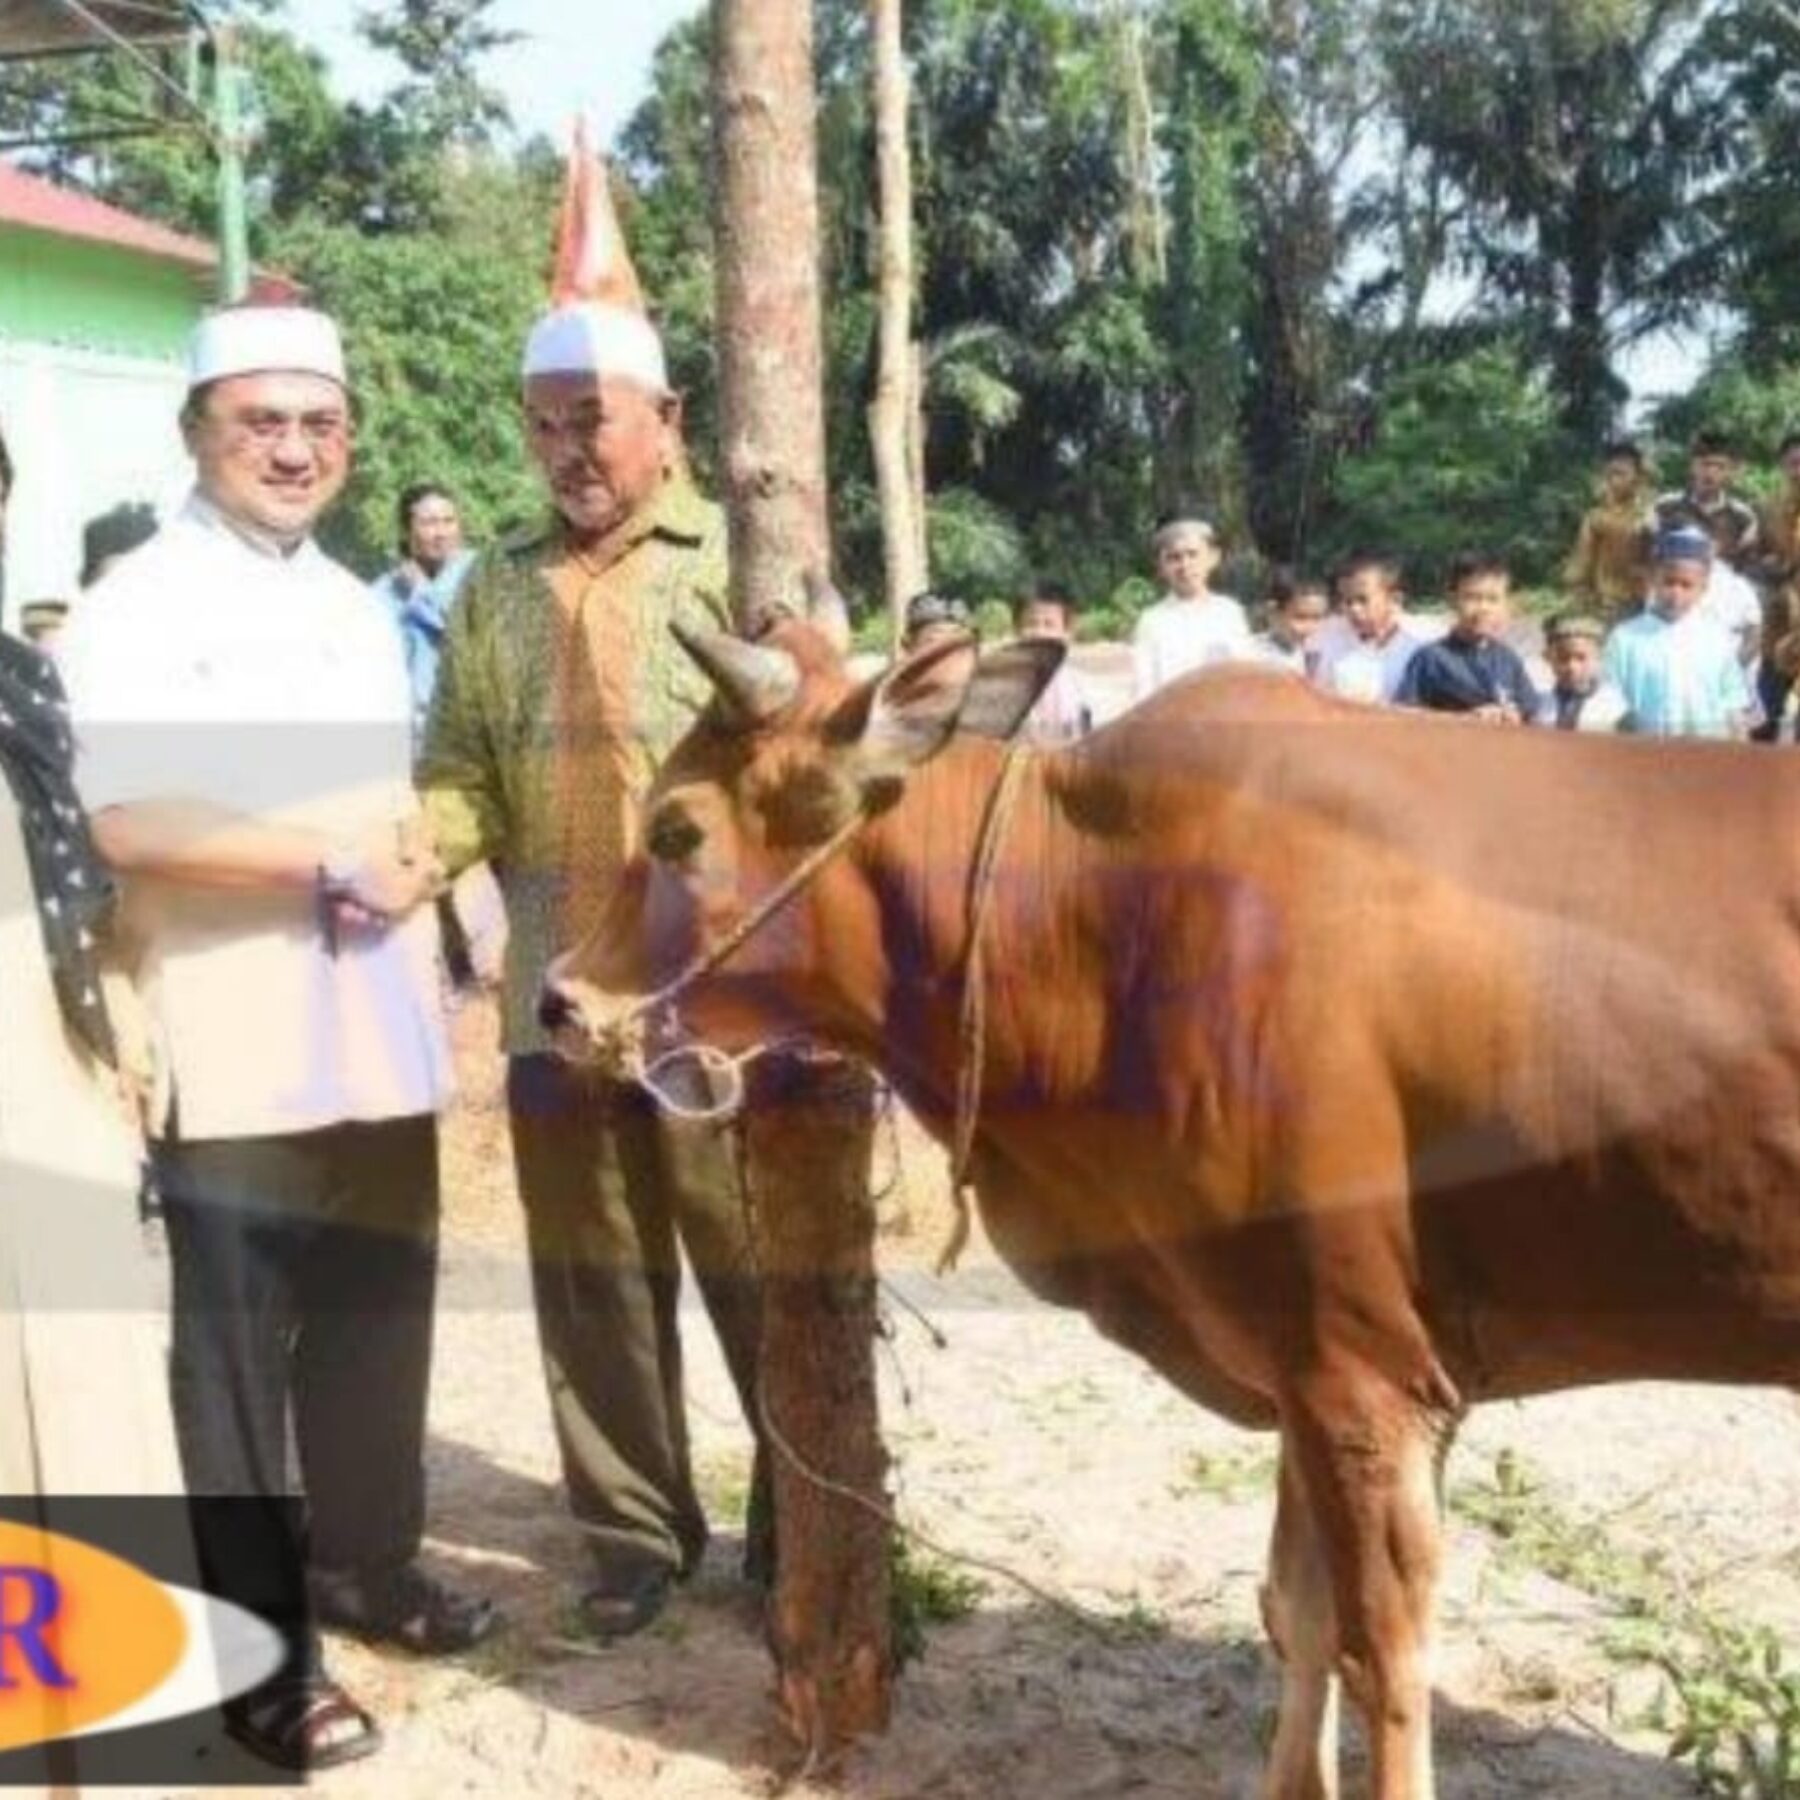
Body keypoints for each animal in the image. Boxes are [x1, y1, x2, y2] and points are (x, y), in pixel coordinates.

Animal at [540, 615, 1800, 1800]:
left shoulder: (1365, 1373)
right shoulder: (1299, 1360)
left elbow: (1383, 1652)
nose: (559, 1001)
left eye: (677, 830)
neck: (1094, 914)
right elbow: (1296, 1613)